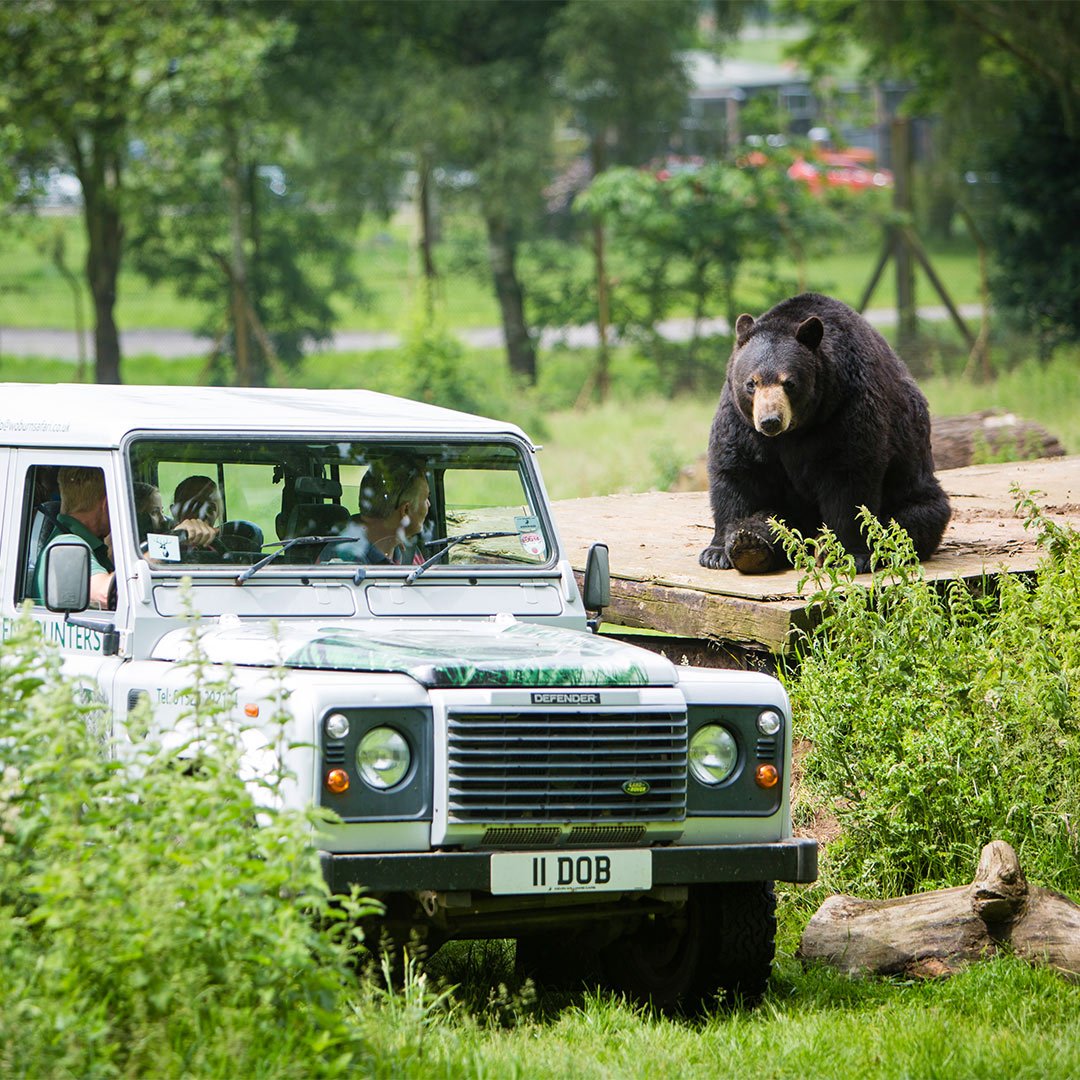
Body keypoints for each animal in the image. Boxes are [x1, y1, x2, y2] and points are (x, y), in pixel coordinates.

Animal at [698, 292, 951, 575]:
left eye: (789, 383)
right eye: (751, 383)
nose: (770, 421)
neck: (797, 429)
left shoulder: (846, 408)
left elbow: (849, 476)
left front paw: (851, 553)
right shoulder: (741, 419)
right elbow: (736, 471)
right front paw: (717, 552)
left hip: (913, 487)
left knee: (913, 519)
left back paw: (823, 545)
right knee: (773, 519)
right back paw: (751, 544)